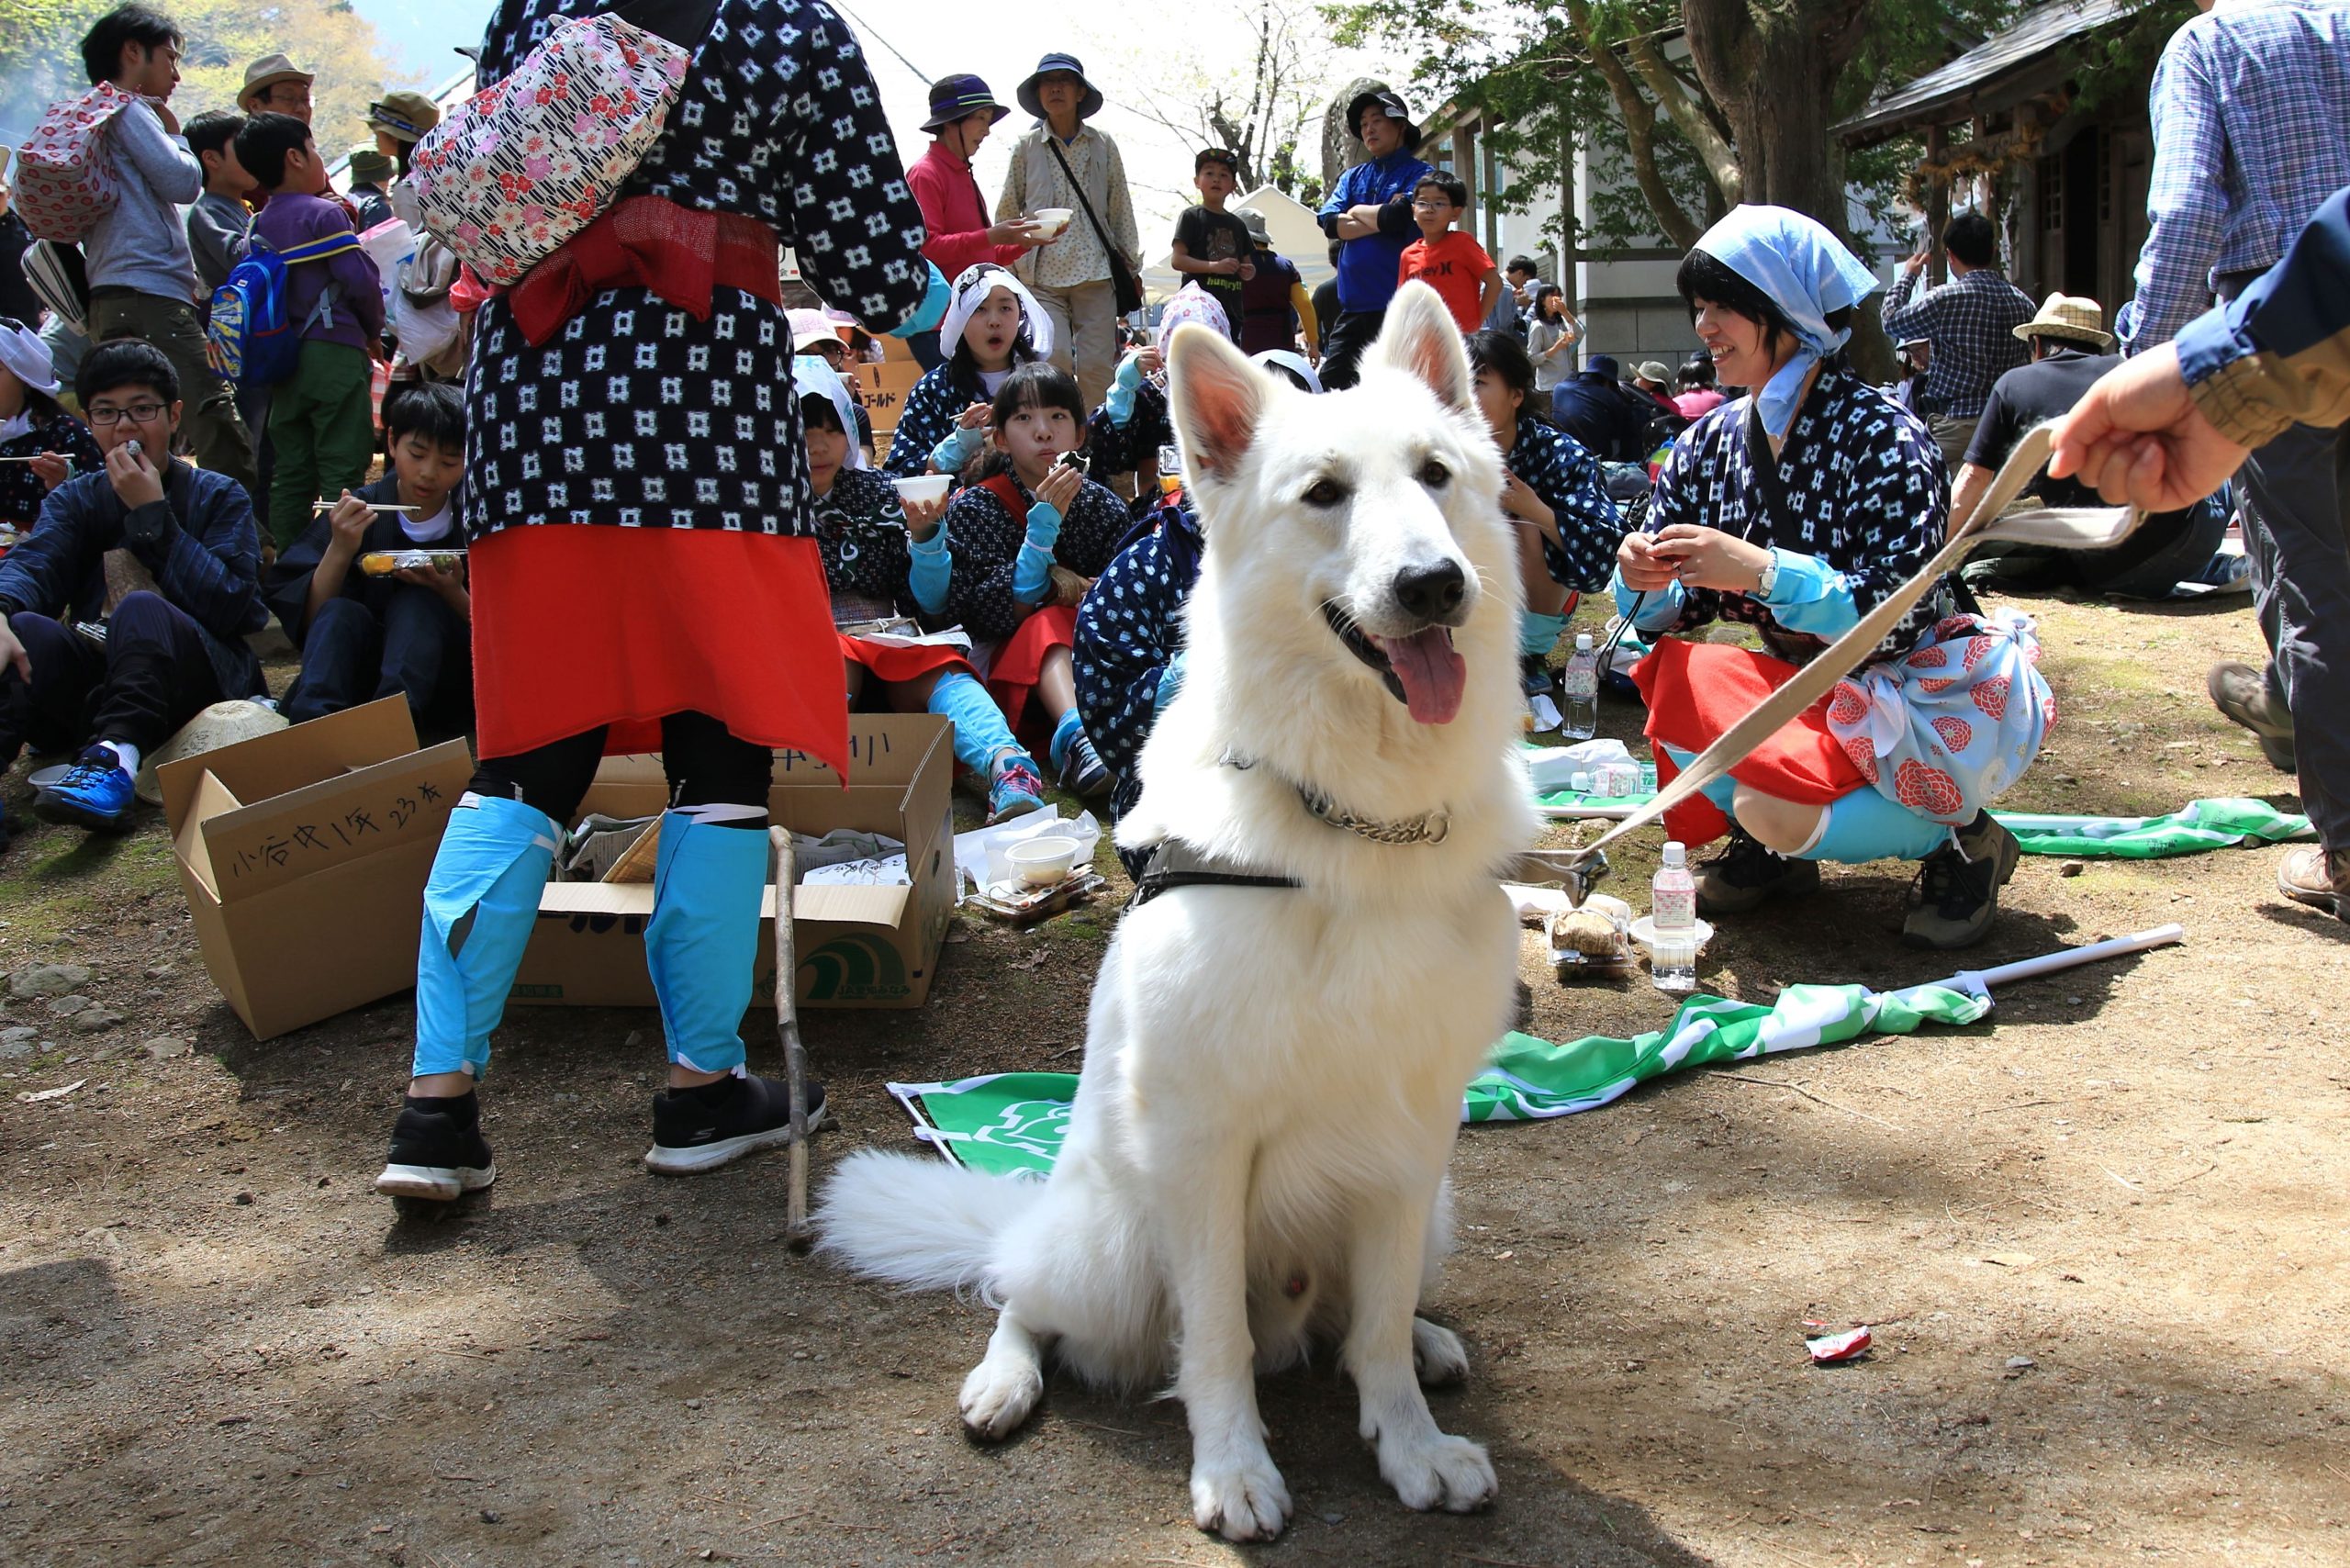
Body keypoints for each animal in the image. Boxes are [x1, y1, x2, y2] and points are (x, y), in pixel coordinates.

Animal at [827, 286, 1541, 1541]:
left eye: (1436, 474)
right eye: (1324, 494)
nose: (1434, 585)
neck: (1350, 826)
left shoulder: (1411, 1145)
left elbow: (1374, 1336)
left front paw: (1409, 1442)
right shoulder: (1205, 1149)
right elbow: (1212, 1341)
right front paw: (1235, 1469)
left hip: (1436, 1207)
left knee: (1357, 1323)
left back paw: (1422, 1339)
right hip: (1109, 1243)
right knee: (1022, 1290)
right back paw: (1003, 1377)